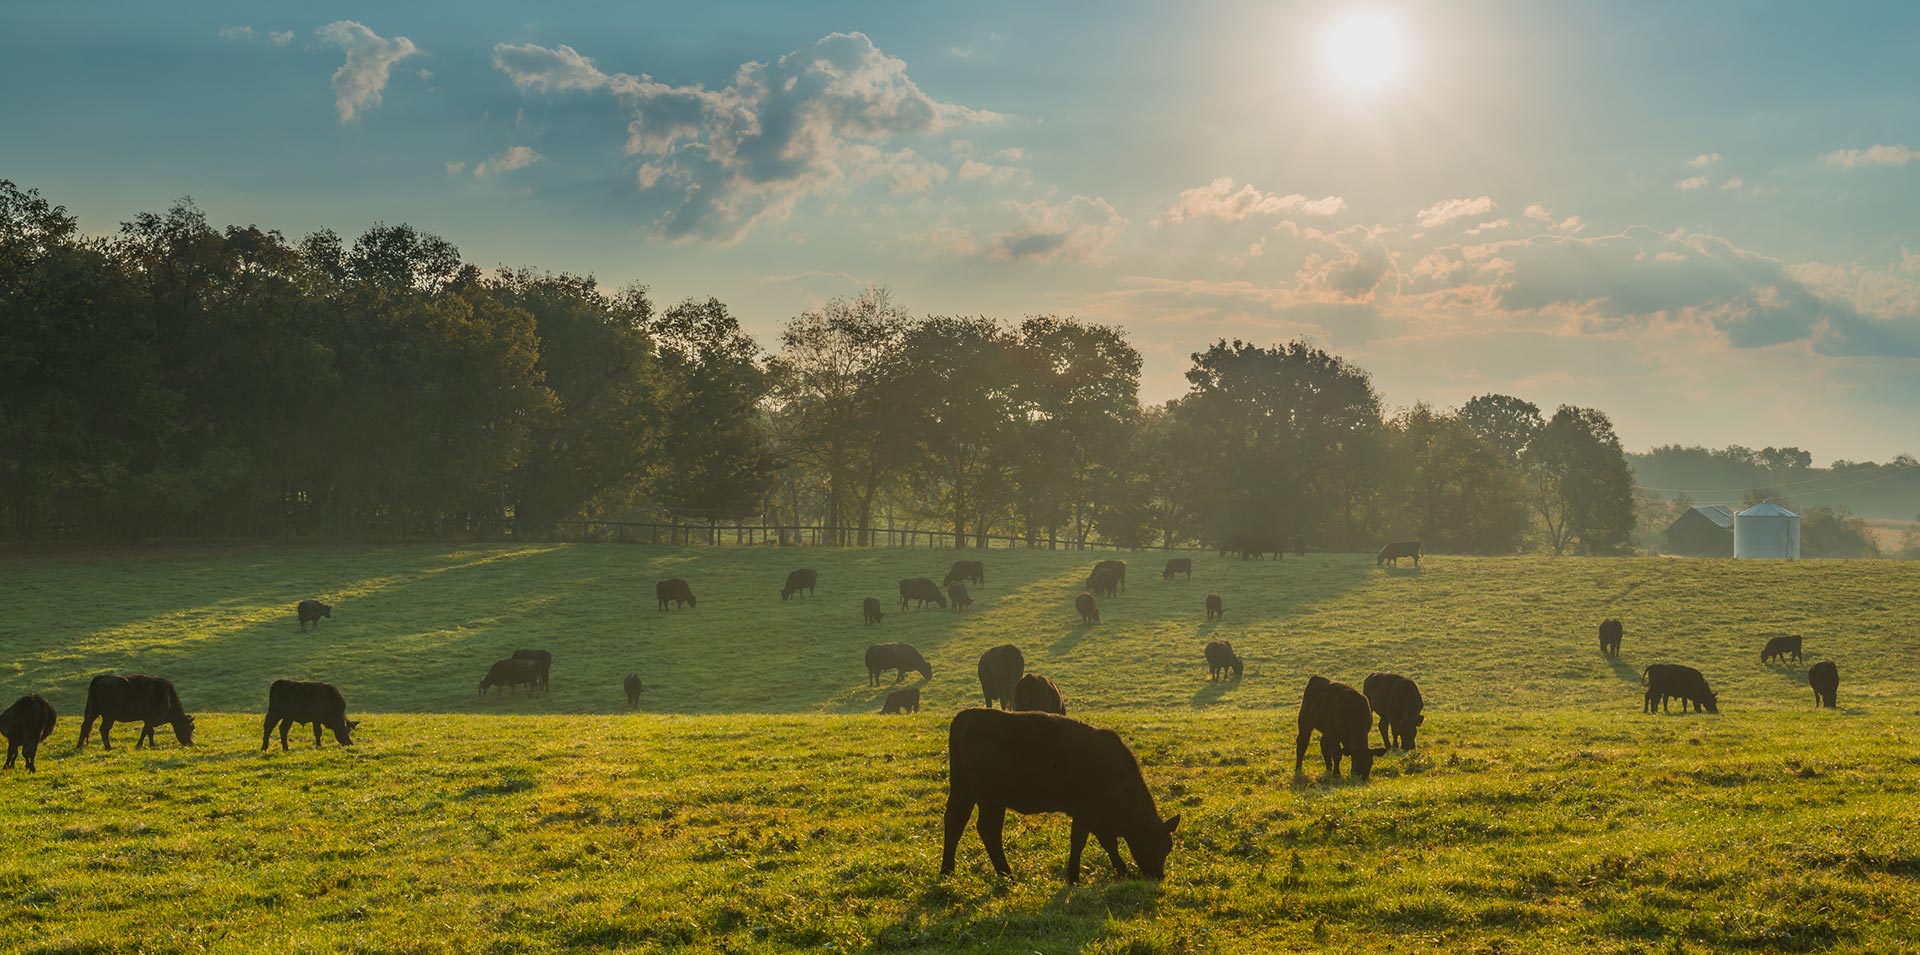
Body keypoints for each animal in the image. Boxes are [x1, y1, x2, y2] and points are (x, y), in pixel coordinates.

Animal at [936, 707, 1175, 880]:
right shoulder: (1085, 813)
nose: (1158, 876)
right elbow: (1080, 841)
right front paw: (1074, 877)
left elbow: (1109, 844)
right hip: (991, 799)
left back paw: (947, 870)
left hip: (963, 791)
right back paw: (1007, 874)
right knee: (988, 829)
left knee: (955, 822)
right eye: (1163, 846)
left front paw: (1122, 870)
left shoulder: (1098, 819)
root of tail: (966, 716)